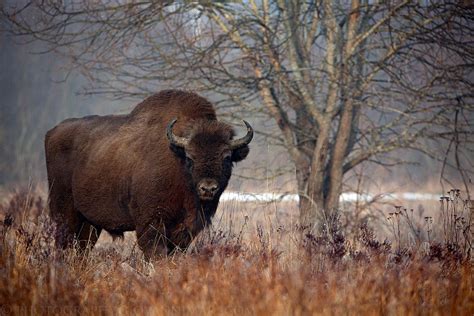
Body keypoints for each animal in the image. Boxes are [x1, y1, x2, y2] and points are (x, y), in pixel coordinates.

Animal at [45, 89, 252, 260]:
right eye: (190, 157)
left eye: (227, 157)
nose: (208, 188)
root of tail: (52, 132)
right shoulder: (151, 222)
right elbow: (156, 252)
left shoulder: (185, 229)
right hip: (64, 212)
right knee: (63, 242)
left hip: (90, 222)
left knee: (83, 246)